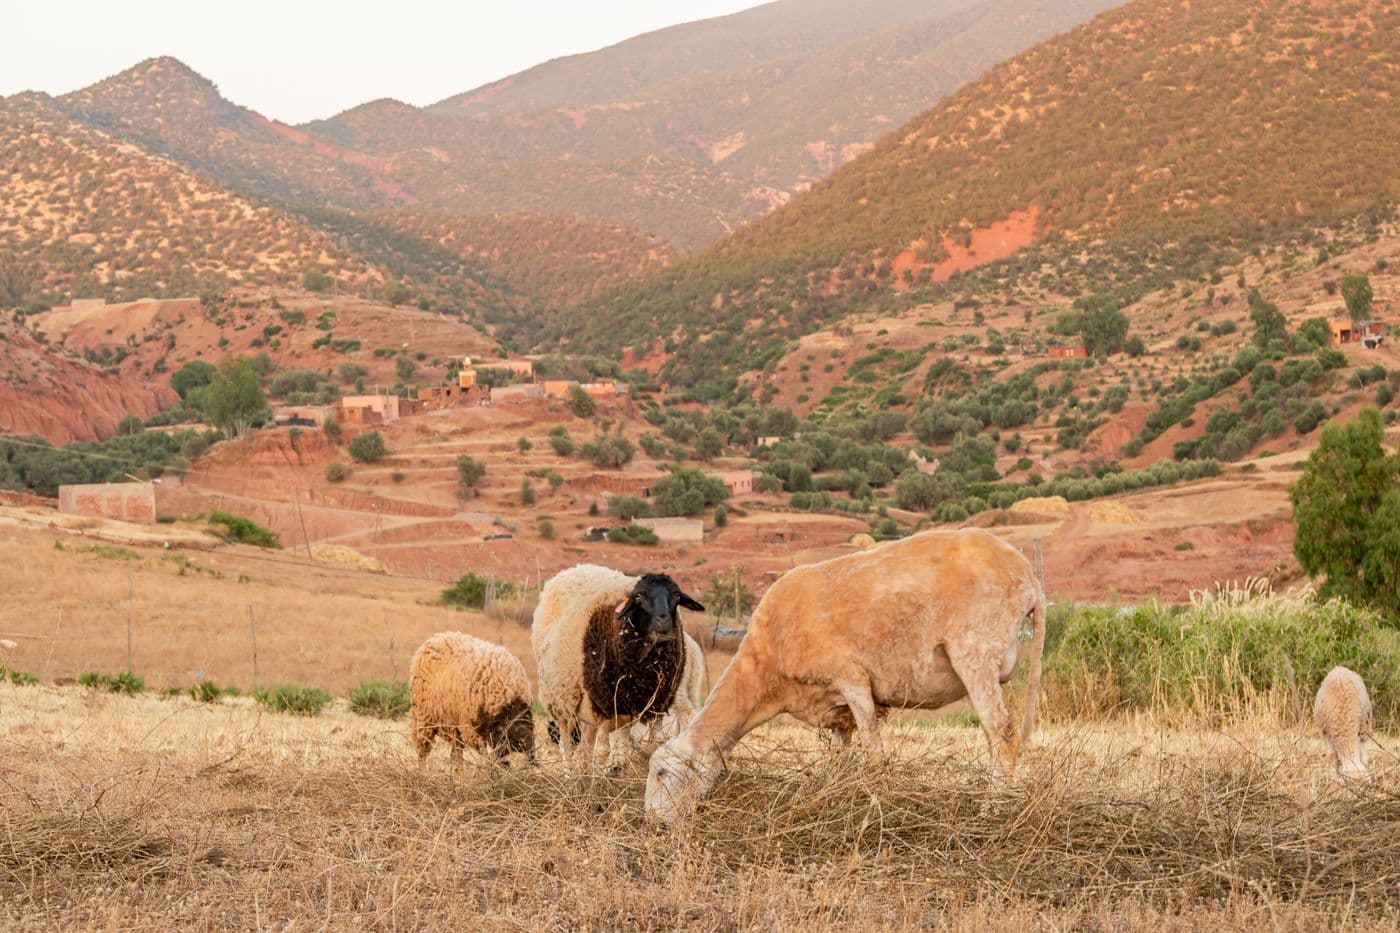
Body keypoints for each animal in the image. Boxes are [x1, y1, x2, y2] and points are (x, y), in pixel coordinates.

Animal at [409, 631, 535, 765]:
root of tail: (436, 637)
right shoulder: (469, 727)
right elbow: (484, 752)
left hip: (453, 723)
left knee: (456, 754)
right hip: (423, 717)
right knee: (423, 750)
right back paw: (422, 768)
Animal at [531, 564, 704, 772]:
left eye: (677, 595)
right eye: (639, 595)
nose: (663, 620)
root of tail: (573, 570)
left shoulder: (656, 703)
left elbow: (654, 743)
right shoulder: (606, 704)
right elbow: (602, 751)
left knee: (590, 743)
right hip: (563, 702)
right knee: (567, 744)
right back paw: (571, 775)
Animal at [646, 528, 1045, 823]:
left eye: (662, 773)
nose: (653, 824)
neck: (766, 672)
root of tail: (1028, 576)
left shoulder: (852, 680)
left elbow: (874, 752)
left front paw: (878, 803)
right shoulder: (836, 710)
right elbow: (839, 760)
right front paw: (837, 799)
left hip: (975, 650)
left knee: (1002, 733)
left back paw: (991, 811)